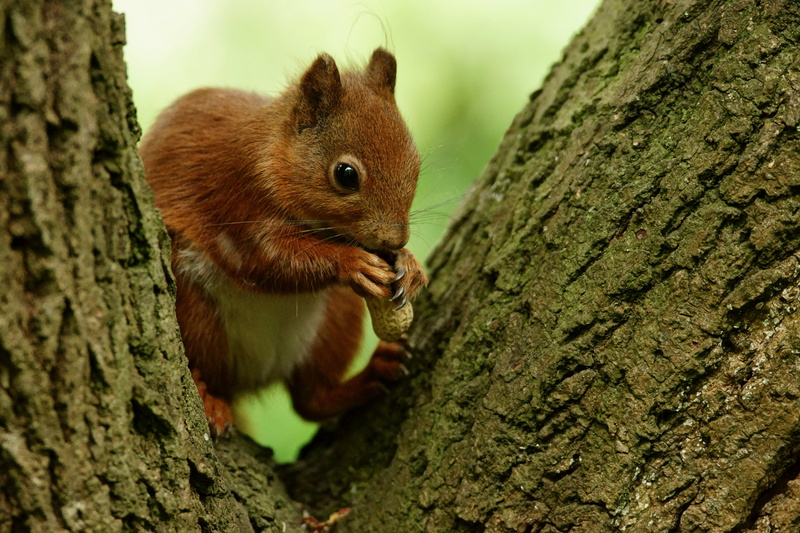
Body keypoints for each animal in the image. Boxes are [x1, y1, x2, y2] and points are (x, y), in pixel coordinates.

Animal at [139, 48, 428, 436]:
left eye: (416, 163)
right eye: (346, 175)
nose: (394, 239)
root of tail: (257, 375)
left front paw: (411, 266)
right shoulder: (238, 200)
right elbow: (267, 259)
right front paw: (351, 262)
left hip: (335, 319)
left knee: (310, 401)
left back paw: (371, 375)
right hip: (195, 309)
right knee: (213, 374)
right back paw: (208, 396)